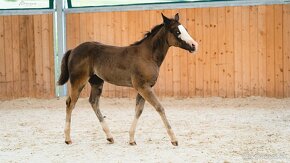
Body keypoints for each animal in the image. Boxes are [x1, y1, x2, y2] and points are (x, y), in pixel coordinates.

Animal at [57, 12, 198, 145]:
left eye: (186, 29)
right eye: (177, 31)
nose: (194, 45)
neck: (148, 55)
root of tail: (73, 50)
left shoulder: (144, 87)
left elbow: (138, 110)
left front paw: (131, 139)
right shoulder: (143, 87)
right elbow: (159, 107)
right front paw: (174, 139)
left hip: (97, 82)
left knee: (93, 102)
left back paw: (109, 136)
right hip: (78, 81)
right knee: (70, 103)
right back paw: (68, 138)